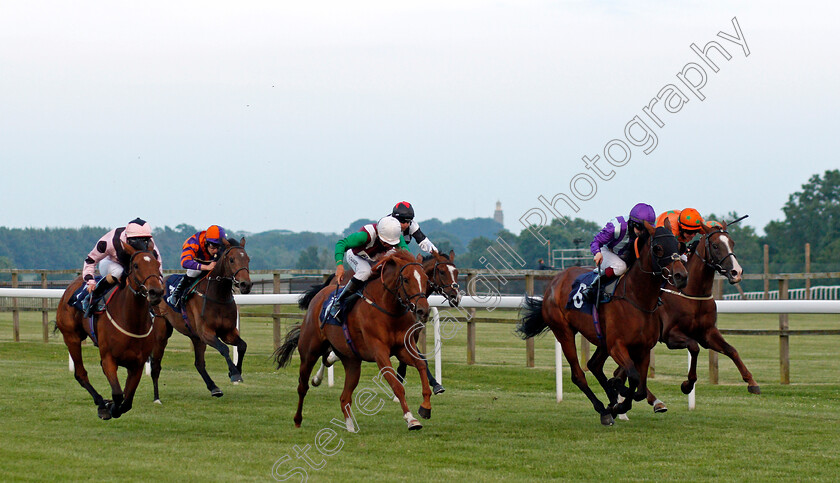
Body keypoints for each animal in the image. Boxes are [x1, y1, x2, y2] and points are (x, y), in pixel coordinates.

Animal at [55, 246, 164, 420]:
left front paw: (115, 406)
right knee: (80, 374)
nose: (156, 292)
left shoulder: (137, 364)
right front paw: (109, 407)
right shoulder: (109, 358)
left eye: (157, 264)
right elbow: (118, 395)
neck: (131, 321)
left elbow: (127, 400)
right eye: (136, 266)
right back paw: (101, 402)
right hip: (72, 337)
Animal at [149, 237, 251, 400]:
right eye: (231, 259)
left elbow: (242, 346)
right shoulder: (206, 333)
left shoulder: (227, 332)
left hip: (195, 336)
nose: (245, 285)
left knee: (199, 363)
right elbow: (224, 348)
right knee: (156, 364)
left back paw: (214, 388)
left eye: (248, 259)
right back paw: (156, 397)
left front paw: (236, 371)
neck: (218, 296)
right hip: (161, 331)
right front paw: (234, 373)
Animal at [276, 250, 434, 432]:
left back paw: (350, 427)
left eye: (426, 279)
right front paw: (411, 419)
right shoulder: (379, 352)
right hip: (309, 352)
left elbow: (421, 365)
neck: (388, 309)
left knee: (344, 397)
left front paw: (425, 407)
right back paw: (298, 419)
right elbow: (397, 385)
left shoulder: (402, 348)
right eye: (406, 279)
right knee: (303, 386)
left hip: (351, 361)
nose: (423, 310)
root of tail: (319, 295)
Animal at [516, 221, 684, 426]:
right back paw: (604, 410)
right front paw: (619, 400)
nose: (681, 275)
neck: (637, 299)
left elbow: (641, 387)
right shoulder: (617, 346)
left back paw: (611, 401)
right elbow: (633, 377)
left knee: (594, 365)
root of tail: (555, 281)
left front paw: (619, 397)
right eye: (658, 248)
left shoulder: (643, 348)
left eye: (678, 246)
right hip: (564, 332)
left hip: (601, 339)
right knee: (578, 374)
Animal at [612, 219, 756, 412]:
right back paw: (649, 400)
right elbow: (694, 347)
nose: (736, 272)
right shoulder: (670, 335)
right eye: (715, 245)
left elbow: (731, 350)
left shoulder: (708, 333)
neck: (693, 293)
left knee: (621, 372)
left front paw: (751, 382)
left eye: (732, 243)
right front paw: (687, 385)